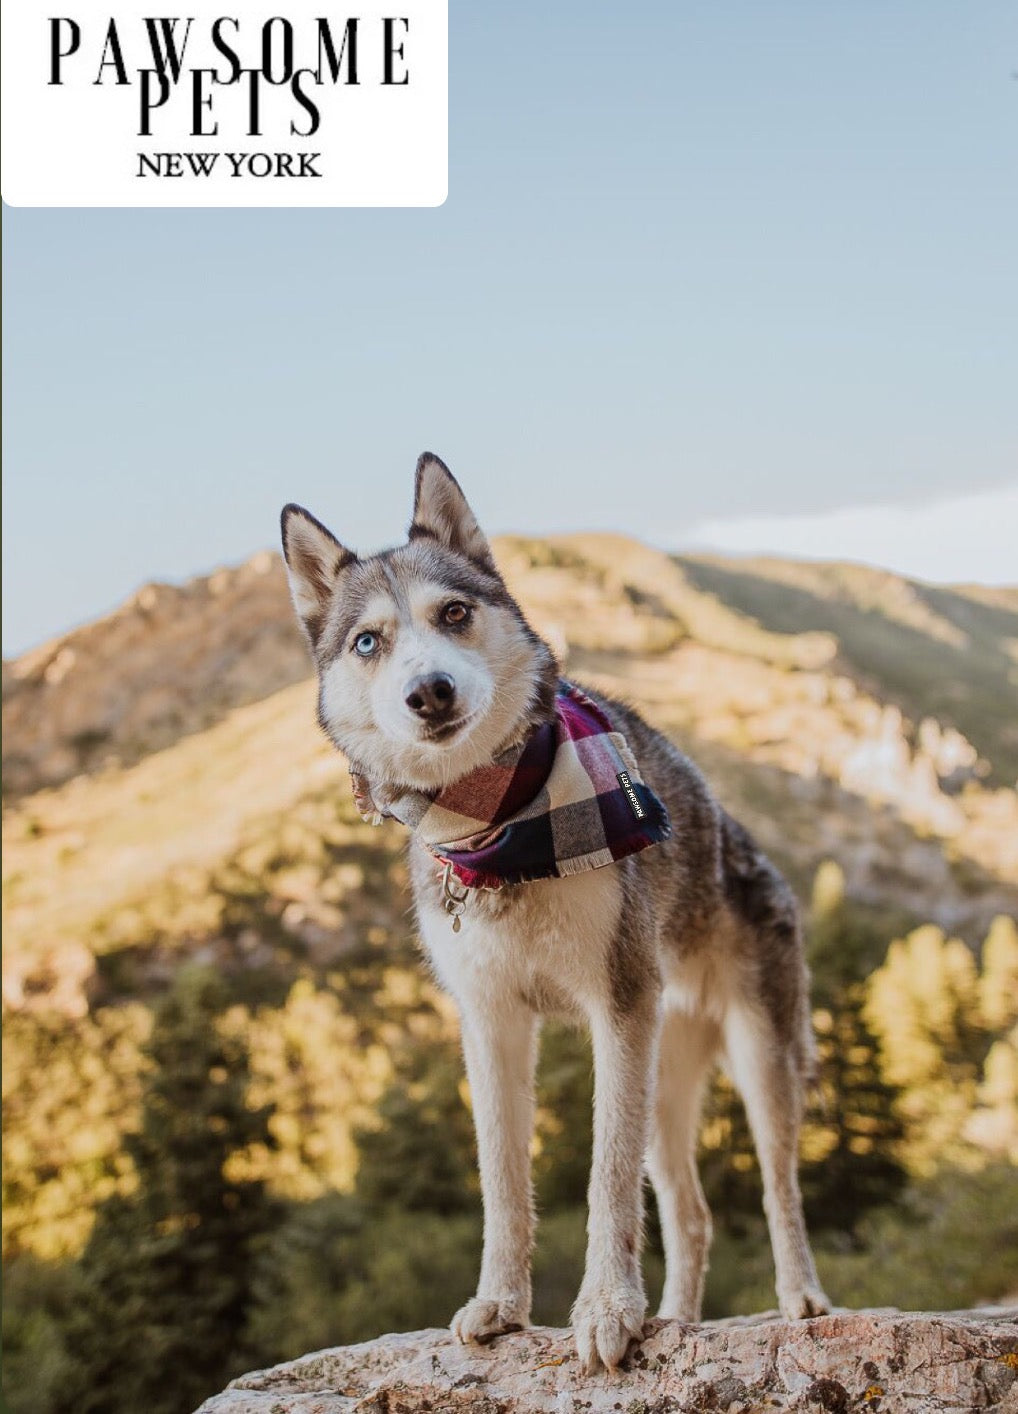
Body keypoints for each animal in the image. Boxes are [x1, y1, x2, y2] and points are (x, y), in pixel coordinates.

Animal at [278, 452, 825, 1368]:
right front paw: (502, 1304)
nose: (429, 692)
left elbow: (606, 1182)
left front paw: (606, 1309)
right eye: (367, 642)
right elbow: (503, 1182)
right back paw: (676, 1317)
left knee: (778, 1187)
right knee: (692, 1213)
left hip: (758, 1055)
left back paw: (802, 1299)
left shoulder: (618, 1009)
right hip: (666, 1078)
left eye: (454, 613)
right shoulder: (493, 1023)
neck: (501, 832)